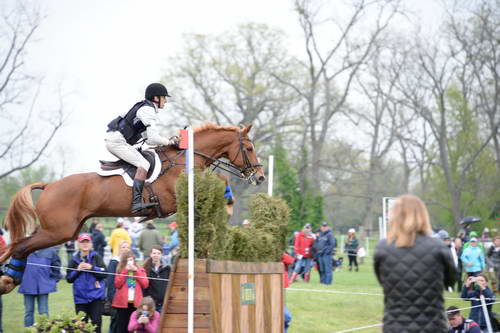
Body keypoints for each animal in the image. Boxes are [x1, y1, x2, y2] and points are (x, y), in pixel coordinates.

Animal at [0, 122, 266, 294]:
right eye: (249, 149)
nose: (261, 177)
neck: (185, 159)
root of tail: (49, 185)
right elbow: (221, 180)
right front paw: (229, 204)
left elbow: (219, 180)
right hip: (58, 231)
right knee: (20, 245)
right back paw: (8, 280)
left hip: (66, 231)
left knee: (21, 244)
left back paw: (10, 278)